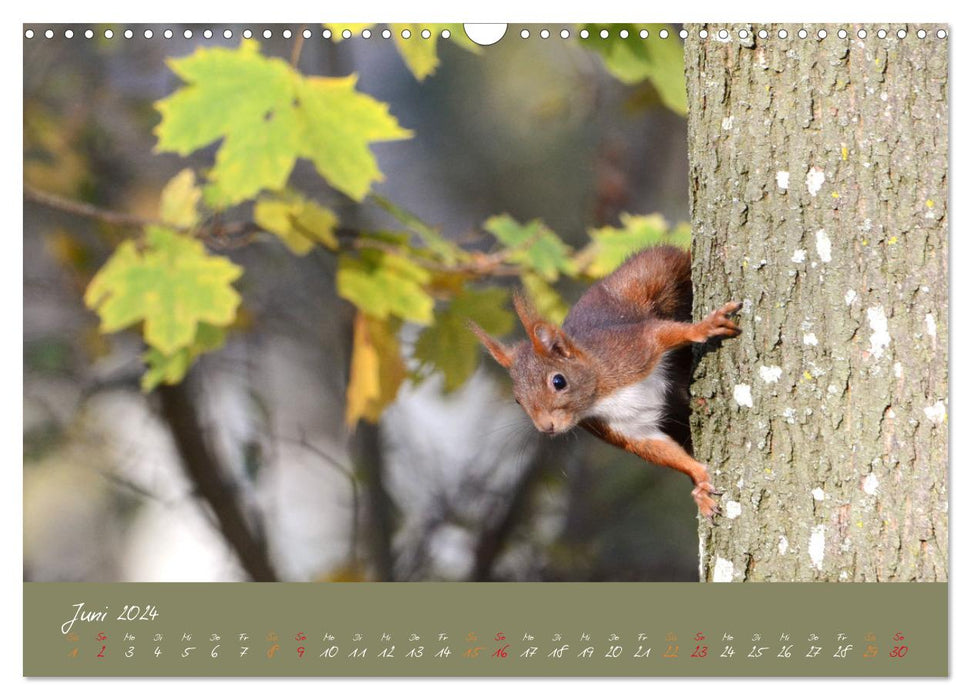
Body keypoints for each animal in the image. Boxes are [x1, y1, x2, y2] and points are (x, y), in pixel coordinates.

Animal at [468, 246, 736, 520]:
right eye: (517, 400)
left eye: (558, 381)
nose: (546, 427)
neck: (601, 396)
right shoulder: (623, 428)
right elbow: (656, 448)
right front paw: (699, 479)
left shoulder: (631, 349)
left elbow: (662, 333)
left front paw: (704, 327)